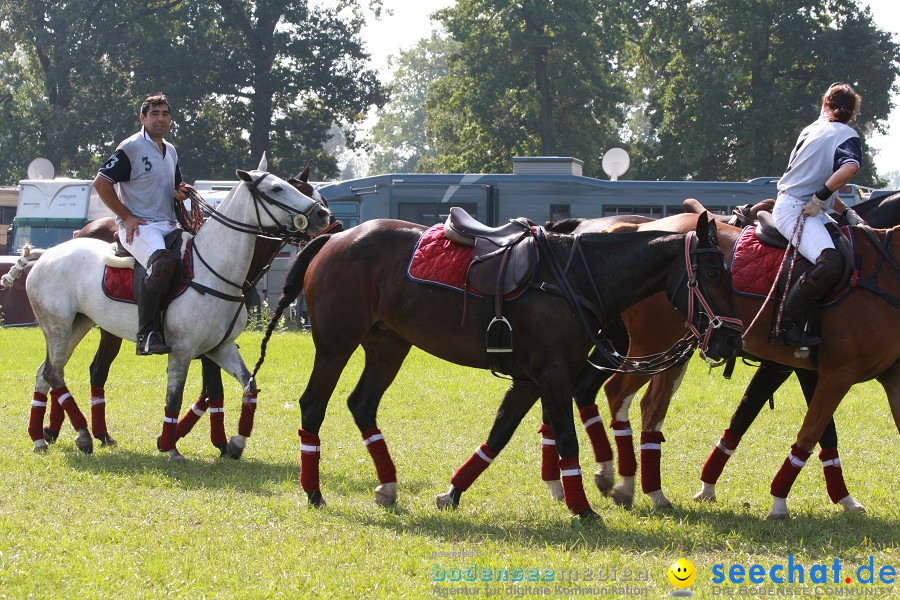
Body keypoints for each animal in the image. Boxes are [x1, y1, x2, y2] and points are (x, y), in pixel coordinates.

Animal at [251, 213, 740, 516]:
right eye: (715, 273)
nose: (731, 337)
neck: (578, 276)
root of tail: (335, 237)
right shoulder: (553, 374)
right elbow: (565, 439)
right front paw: (582, 508)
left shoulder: (529, 380)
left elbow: (499, 435)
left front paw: (452, 492)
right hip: (336, 344)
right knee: (314, 404)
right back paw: (313, 491)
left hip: (388, 345)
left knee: (362, 404)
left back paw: (387, 485)